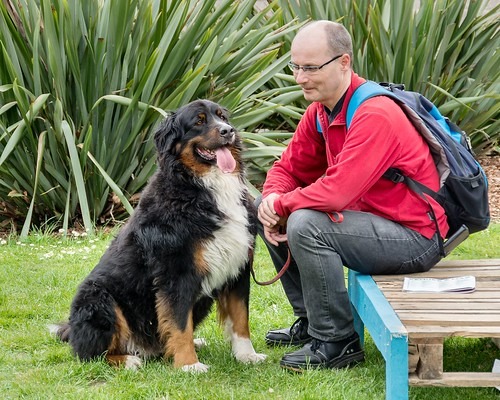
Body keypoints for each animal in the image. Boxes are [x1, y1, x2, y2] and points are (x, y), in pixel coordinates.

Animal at [50, 99, 268, 372]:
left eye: (222, 116)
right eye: (199, 121)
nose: (228, 131)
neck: (203, 187)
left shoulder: (238, 268)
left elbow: (240, 320)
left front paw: (246, 355)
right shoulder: (176, 272)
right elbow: (179, 323)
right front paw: (188, 365)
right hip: (100, 300)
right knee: (90, 354)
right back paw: (128, 359)